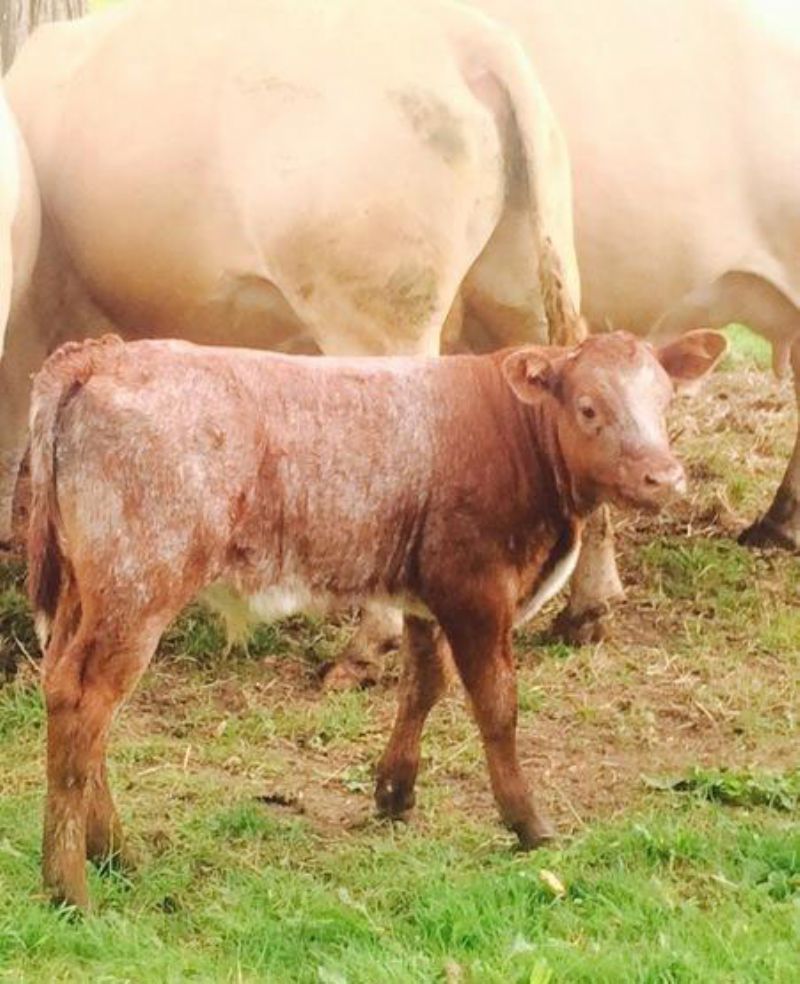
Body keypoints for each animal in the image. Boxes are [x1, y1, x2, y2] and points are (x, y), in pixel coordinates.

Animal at [27, 329, 726, 908]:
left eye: (665, 402)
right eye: (588, 407)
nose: (663, 476)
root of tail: (101, 355)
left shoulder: (423, 595)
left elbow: (422, 686)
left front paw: (394, 793)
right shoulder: (476, 590)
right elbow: (497, 705)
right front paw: (528, 824)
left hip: (84, 595)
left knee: (75, 701)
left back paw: (116, 855)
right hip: (138, 586)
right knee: (85, 702)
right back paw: (72, 888)